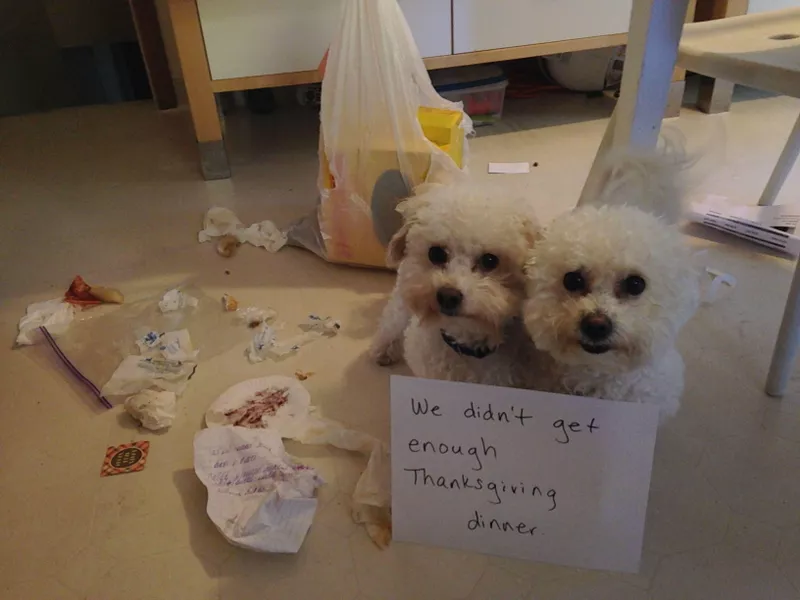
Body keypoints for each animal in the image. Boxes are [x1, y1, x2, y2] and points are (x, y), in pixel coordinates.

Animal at [372, 183, 540, 390]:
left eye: (490, 260)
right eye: (436, 253)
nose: (448, 296)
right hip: (401, 302)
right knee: (391, 322)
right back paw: (383, 349)